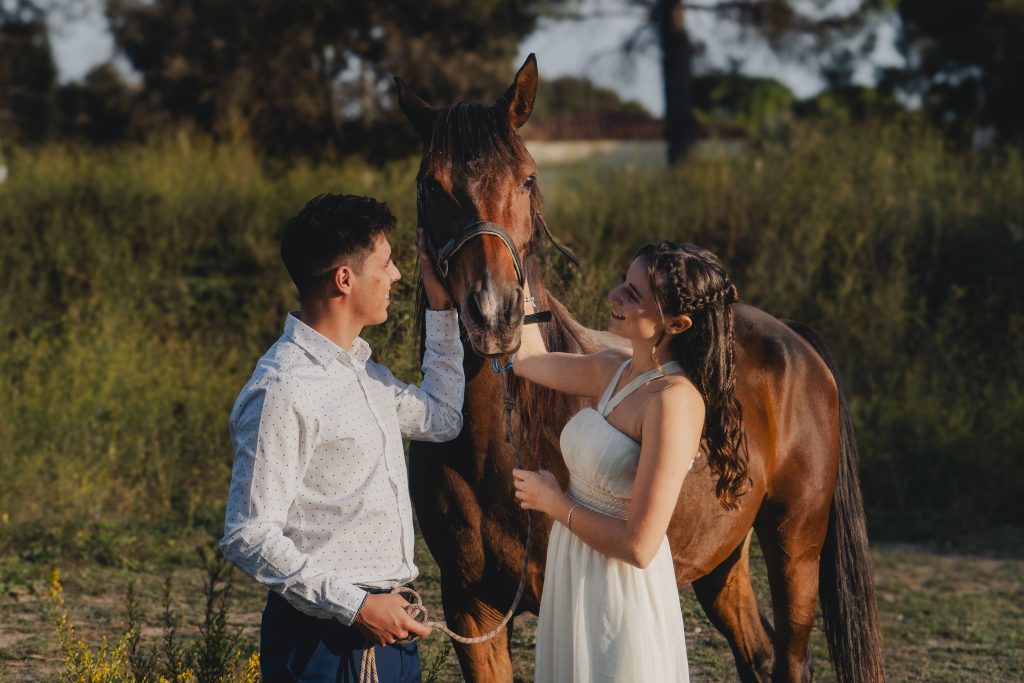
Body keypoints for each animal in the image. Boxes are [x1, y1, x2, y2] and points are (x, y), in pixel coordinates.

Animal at [396, 55, 884, 683]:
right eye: (430, 185)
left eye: (527, 178)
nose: (494, 313)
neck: (504, 438)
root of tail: (794, 339)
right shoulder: (472, 611)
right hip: (721, 557)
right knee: (757, 651)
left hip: (795, 547)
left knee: (789, 657)